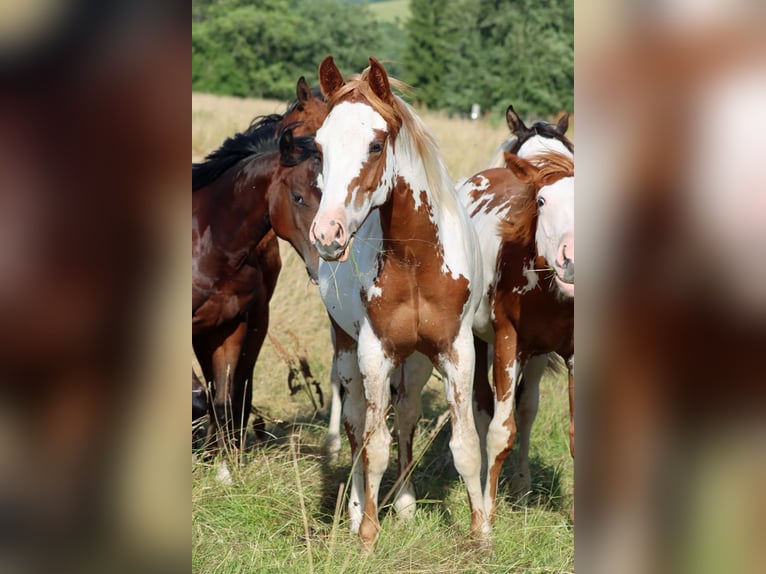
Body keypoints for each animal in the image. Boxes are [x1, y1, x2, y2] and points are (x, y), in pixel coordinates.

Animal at [311, 56, 489, 546]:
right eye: (318, 147)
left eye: (375, 145)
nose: (327, 234)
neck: (416, 260)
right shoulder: (375, 352)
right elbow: (374, 446)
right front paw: (368, 535)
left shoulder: (455, 350)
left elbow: (466, 444)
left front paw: (481, 534)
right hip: (347, 351)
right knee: (355, 424)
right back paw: (357, 510)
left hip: (418, 359)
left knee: (406, 415)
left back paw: (406, 506)